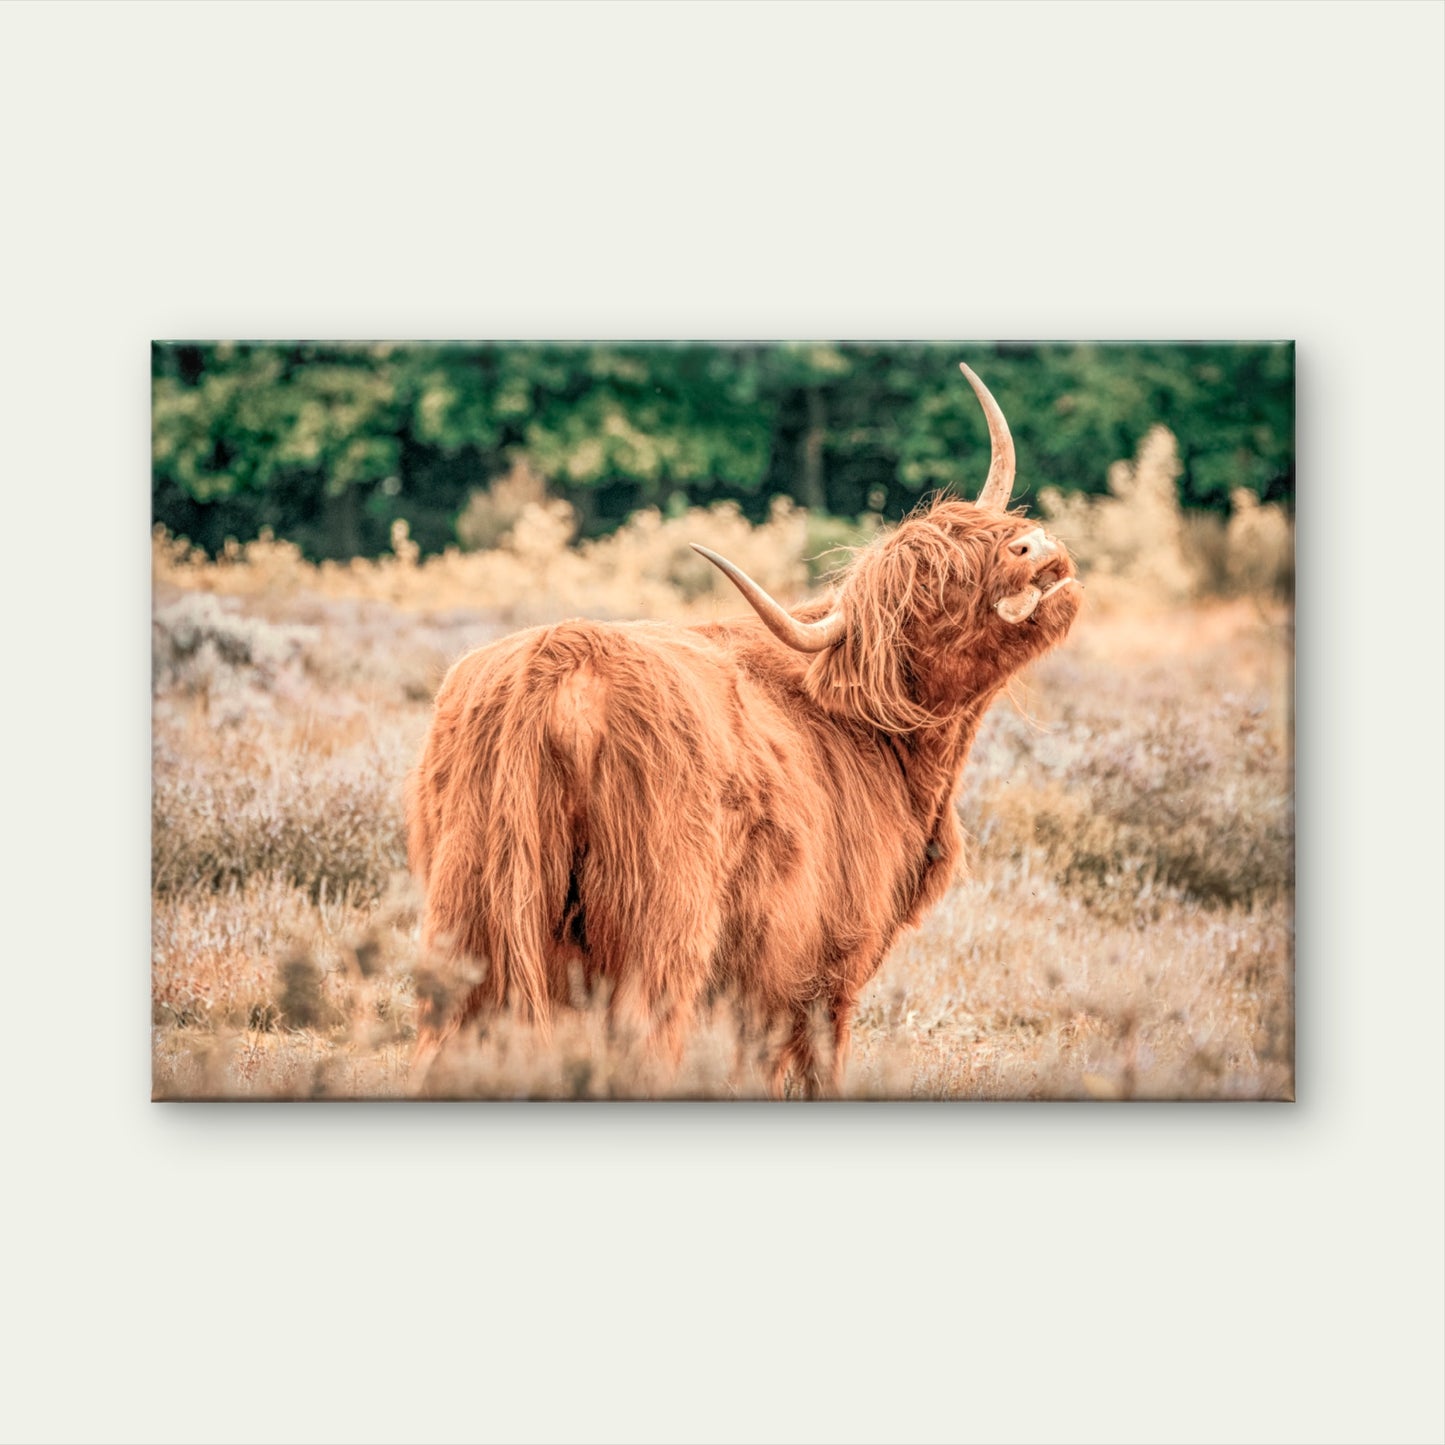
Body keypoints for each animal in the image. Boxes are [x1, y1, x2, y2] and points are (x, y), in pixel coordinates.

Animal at [406, 363, 1082, 1096]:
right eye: (931, 590)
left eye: (983, 528)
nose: (1033, 546)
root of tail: (559, 662)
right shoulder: (825, 967)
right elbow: (815, 1068)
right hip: (660, 936)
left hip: (469, 924)